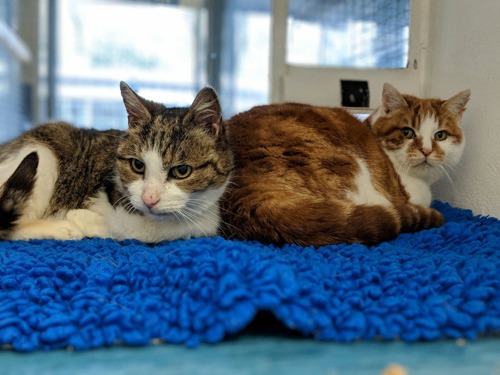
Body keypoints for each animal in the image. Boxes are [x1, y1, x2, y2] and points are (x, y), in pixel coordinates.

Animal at [0, 81, 230, 242]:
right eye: (138, 165)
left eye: (182, 170)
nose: (149, 199)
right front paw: (80, 217)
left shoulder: (207, 221)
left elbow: (149, 229)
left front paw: (89, 220)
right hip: (43, 154)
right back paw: (60, 228)